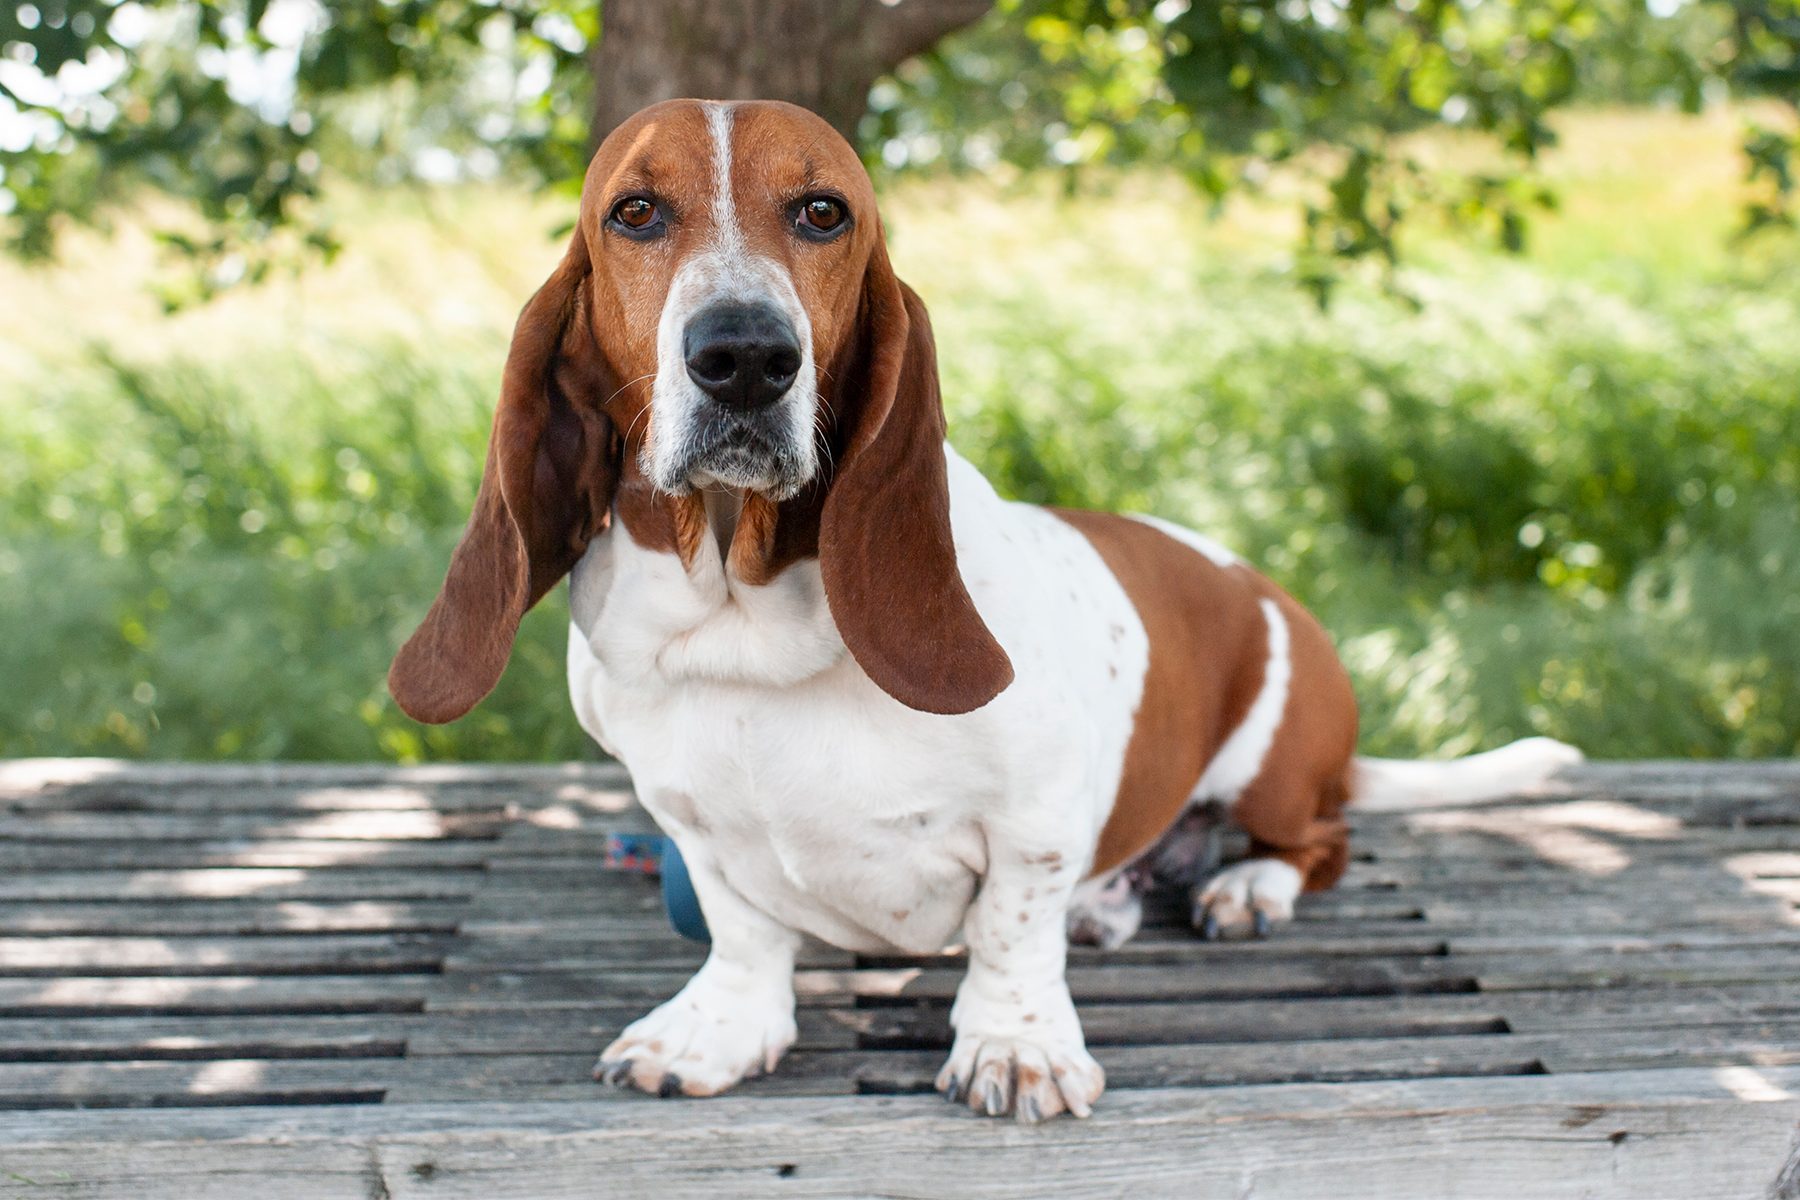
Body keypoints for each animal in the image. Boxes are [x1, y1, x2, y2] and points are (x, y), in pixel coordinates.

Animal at [387, 98, 1584, 1122]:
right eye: (634, 212)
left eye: (824, 212)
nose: (745, 357)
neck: (744, 612)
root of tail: (1261, 587)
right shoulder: (691, 827)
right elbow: (743, 935)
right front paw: (716, 1032)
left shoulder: (1036, 817)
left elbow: (1012, 931)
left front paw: (1015, 1046)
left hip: (1277, 769)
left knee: (1321, 841)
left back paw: (1247, 886)